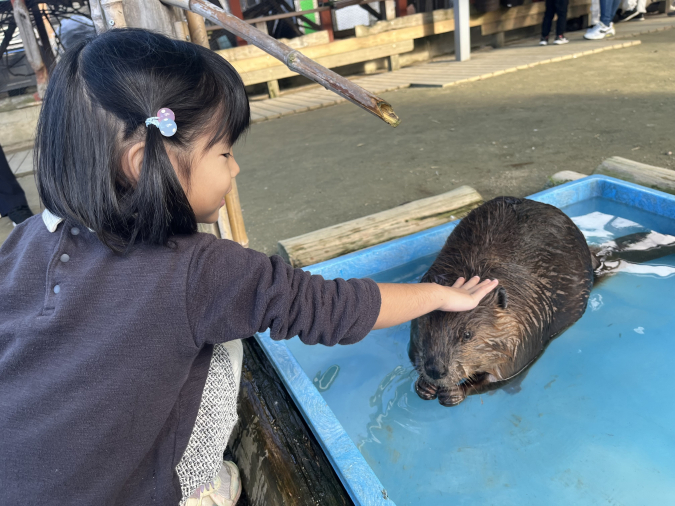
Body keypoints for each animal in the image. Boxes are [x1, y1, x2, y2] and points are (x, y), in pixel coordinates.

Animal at [406, 196, 596, 406]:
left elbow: (505, 373)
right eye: (426, 327)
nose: (436, 369)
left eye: (467, 334)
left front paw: (455, 392)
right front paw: (424, 386)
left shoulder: (523, 330)